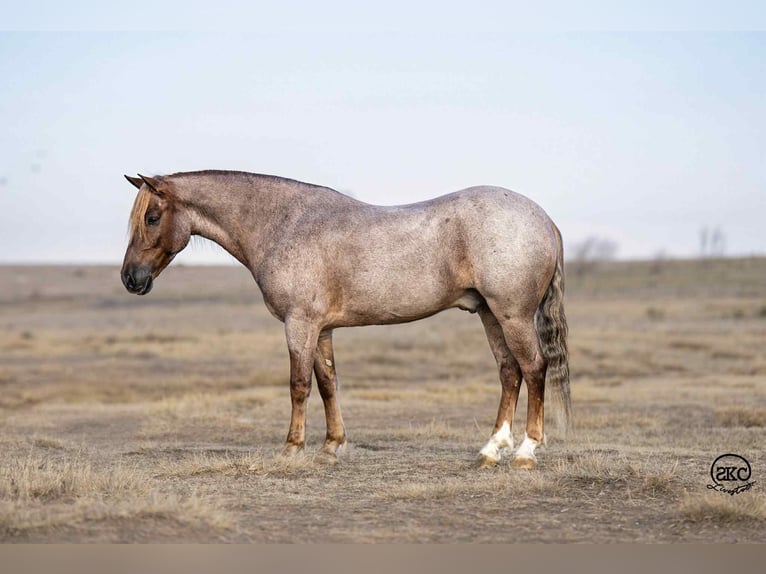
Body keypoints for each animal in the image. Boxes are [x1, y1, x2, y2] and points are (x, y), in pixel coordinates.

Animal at [120, 170, 570, 469]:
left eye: (152, 217)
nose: (130, 278)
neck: (285, 224)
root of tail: (543, 217)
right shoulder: (322, 330)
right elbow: (327, 384)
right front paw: (331, 446)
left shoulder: (299, 324)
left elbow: (299, 386)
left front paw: (292, 448)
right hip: (490, 315)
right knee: (509, 372)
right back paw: (491, 450)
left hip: (513, 315)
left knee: (534, 368)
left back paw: (526, 452)